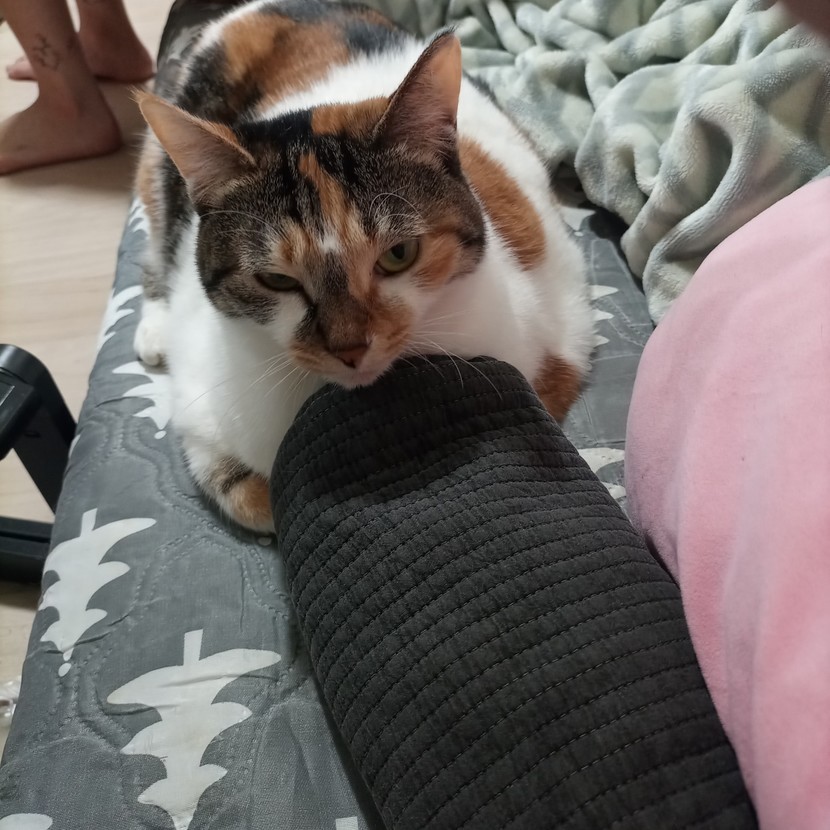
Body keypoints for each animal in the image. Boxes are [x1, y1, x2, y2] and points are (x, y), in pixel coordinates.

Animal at [133, 0, 595, 532]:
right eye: (276, 279)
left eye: (398, 254)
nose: (349, 347)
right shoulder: (200, 403)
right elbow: (236, 486)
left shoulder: (555, 346)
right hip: (162, 162)